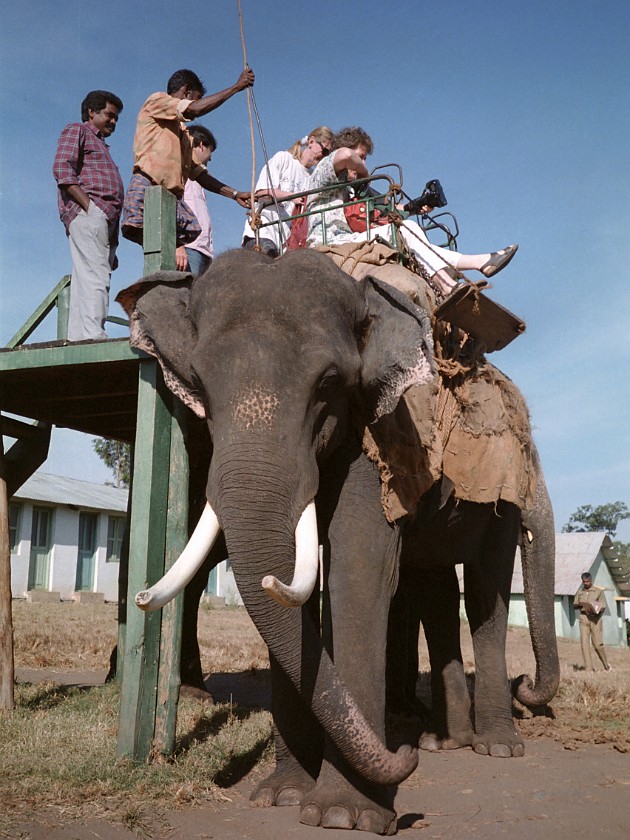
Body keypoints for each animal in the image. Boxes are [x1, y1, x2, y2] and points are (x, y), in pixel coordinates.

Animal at [116, 249, 560, 832]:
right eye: (199, 383)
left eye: (328, 382)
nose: (402, 754)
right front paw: (280, 796)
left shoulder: (379, 434)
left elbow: (360, 565)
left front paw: (344, 816)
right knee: (439, 590)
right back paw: (443, 742)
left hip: (501, 491)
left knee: (484, 592)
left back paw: (493, 748)